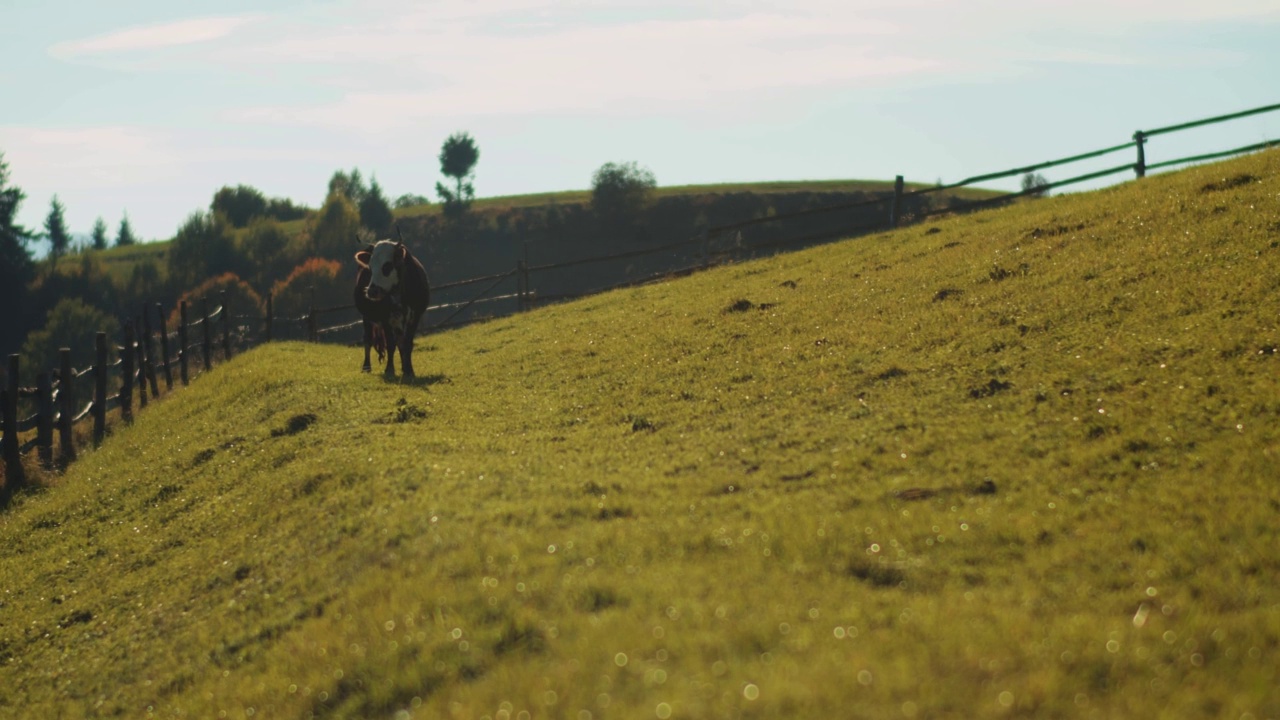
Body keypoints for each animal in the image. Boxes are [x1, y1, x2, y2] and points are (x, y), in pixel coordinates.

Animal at [353, 239, 432, 379]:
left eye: (387, 266)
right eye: (370, 267)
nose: (372, 291)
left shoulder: (416, 317)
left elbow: (407, 344)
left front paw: (409, 370)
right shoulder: (385, 318)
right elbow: (390, 344)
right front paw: (389, 369)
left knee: (400, 342)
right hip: (367, 317)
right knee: (368, 339)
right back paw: (366, 367)